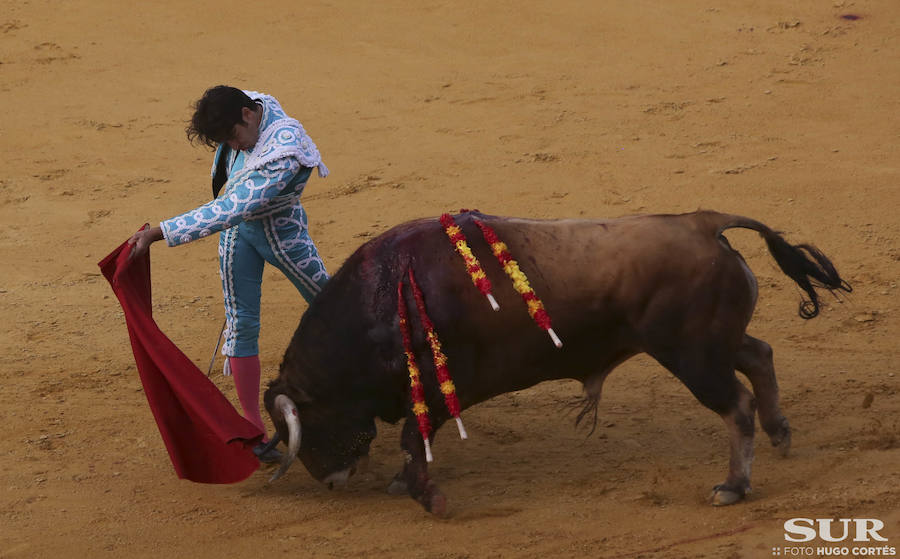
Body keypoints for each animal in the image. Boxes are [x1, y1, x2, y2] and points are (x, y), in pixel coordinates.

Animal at [260, 211, 852, 516]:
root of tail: (704, 224)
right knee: (759, 355)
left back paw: (733, 485)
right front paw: (408, 483)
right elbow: (415, 440)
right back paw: (780, 433)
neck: (379, 301)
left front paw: (430, 497)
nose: (330, 482)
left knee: (736, 407)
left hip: (693, 357)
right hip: (709, 344)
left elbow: (413, 437)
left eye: (306, 424)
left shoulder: (437, 389)